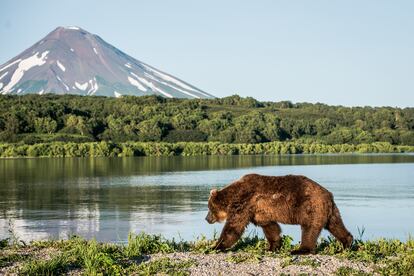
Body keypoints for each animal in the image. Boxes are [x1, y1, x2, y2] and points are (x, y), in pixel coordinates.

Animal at [205, 174, 350, 256]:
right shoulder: (259, 212)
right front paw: (272, 246)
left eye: (209, 207)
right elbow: (270, 227)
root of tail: (328, 194)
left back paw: (301, 250)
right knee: (335, 224)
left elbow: (233, 228)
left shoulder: (243, 202)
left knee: (309, 229)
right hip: (329, 210)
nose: (206, 218)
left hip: (310, 207)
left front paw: (215, 246)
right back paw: (346, 243)